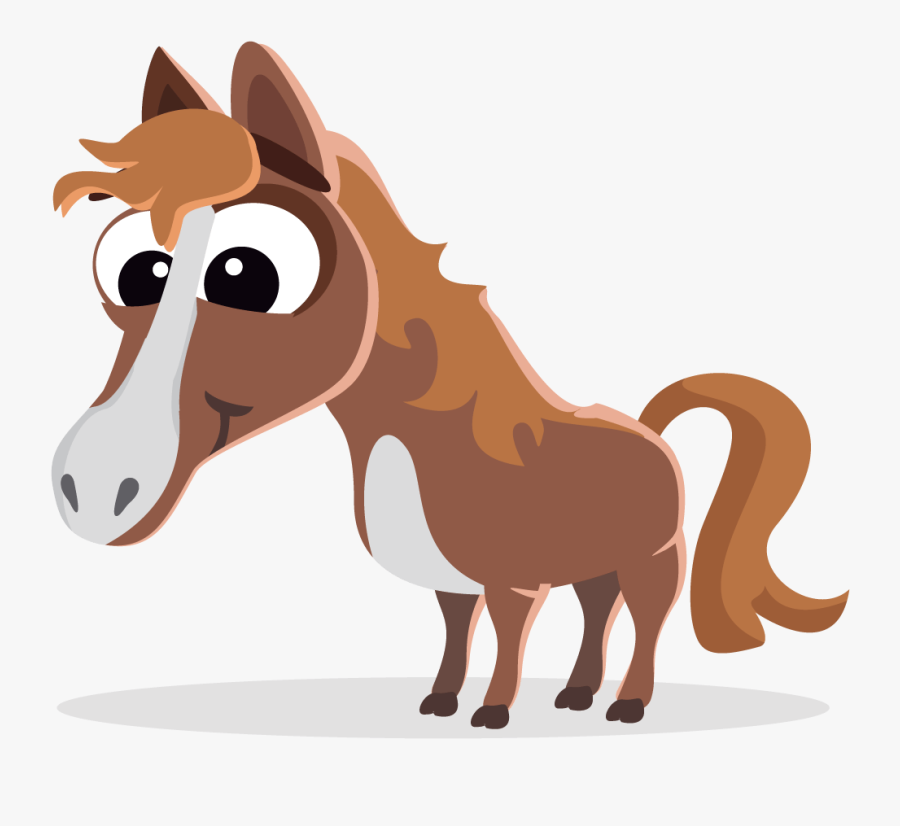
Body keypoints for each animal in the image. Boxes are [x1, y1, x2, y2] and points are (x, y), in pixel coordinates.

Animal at [51, 43, 848, 730]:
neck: (436, 437)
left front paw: (492, 711)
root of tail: (650, 430)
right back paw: (578, 694)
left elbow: (506, 635)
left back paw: (627, 703)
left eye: (247, 274)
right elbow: (456, 632)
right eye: (137, 271)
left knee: (646, 620)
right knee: (597, 610)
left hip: (653, 560)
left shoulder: (513, 583)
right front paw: (440, 701)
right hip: (595, 565)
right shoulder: (452, 581)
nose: (92, 489)